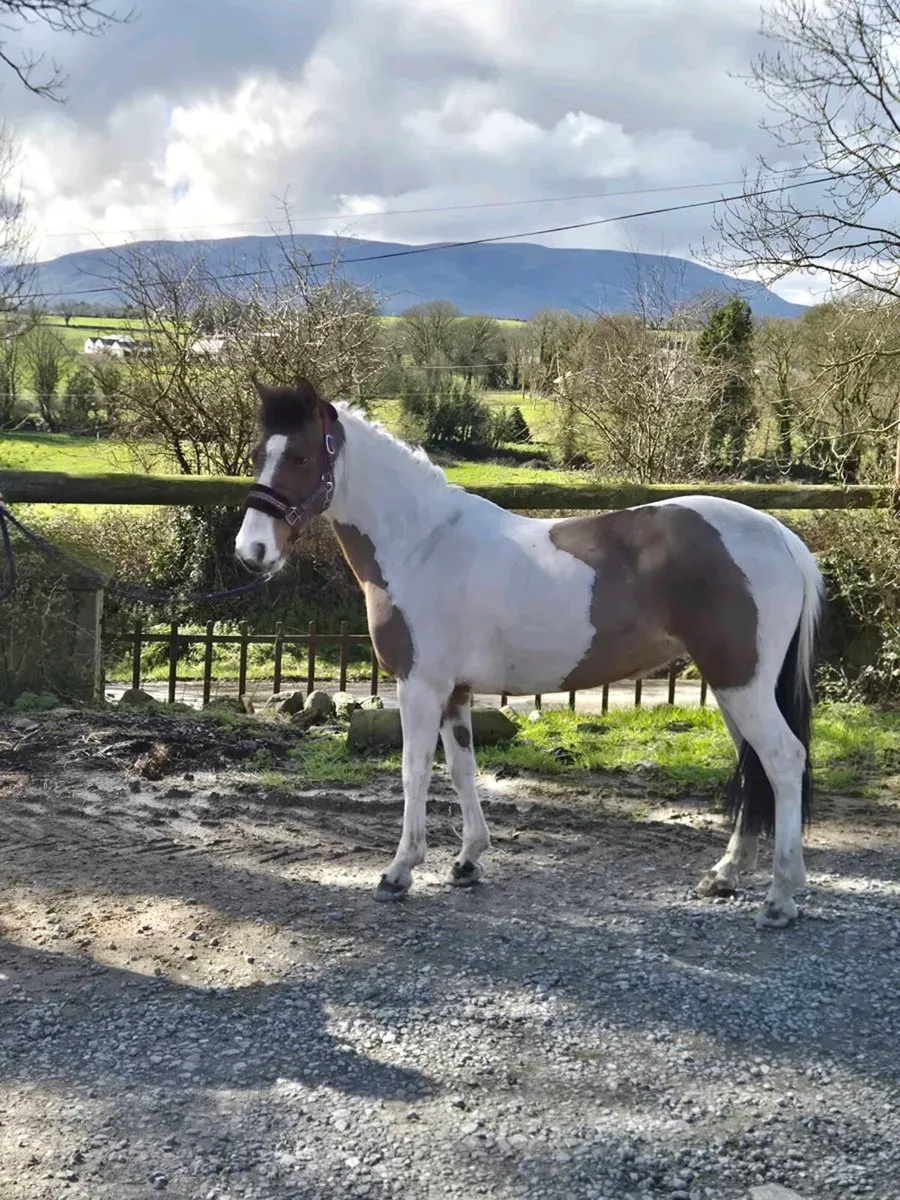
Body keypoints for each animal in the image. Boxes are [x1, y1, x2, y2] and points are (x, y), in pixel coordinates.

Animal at [235, 378, 825, 930]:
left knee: (782, 759)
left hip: (740, 682)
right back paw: (725, 875)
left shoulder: (420, 685)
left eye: (301, 456)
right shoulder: (455, 692)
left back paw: (780, 898)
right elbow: (462, 768)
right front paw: (468, 861)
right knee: (754, 764)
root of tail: (781, 537)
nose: (251, 552)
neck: (422, 543)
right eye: (259, 453)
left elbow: (414, 771)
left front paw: (399, 872)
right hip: (733, 685)